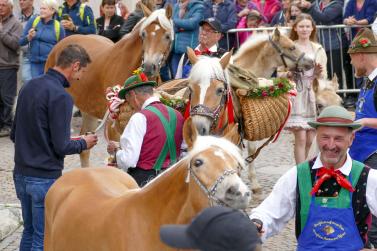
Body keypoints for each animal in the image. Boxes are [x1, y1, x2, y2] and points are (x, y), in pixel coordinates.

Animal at [44, 4, 173, 167]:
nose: (149, 66)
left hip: (89, 110)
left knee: (84, 147)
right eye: (143, 34)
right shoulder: (115, 127)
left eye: (167, 36)